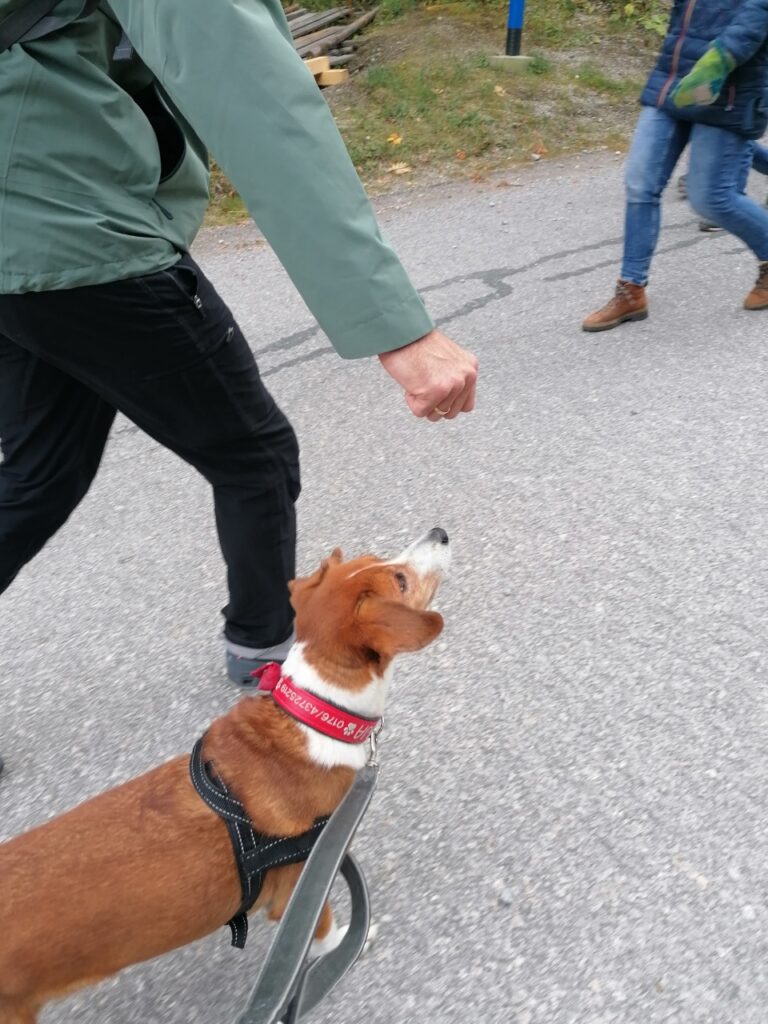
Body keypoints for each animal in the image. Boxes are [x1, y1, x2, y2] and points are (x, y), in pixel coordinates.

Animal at [0, 528, 450, 1024]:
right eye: (401, 580)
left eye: (380, 559)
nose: (440, 533)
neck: (313, 716)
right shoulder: (298, 890)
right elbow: (326, 931)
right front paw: (352, 939)